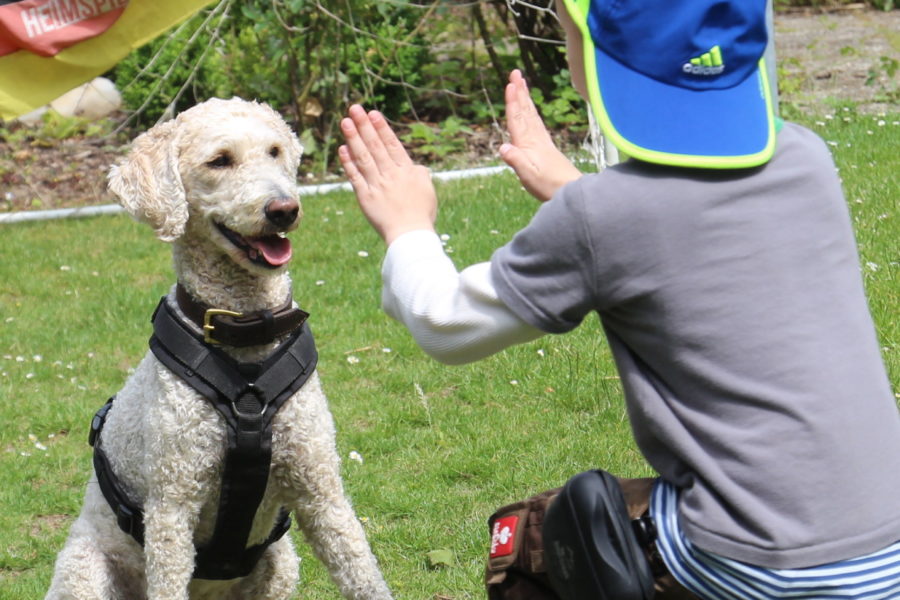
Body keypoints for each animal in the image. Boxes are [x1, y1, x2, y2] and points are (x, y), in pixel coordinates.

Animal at [44, 98, 390, 600]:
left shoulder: (321, 490)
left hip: (281, 565)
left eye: (275, 151)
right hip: (84, 573)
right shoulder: (171, 508)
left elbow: (363, 574)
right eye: (220, 161)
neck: (243, 334)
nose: (284, 209)